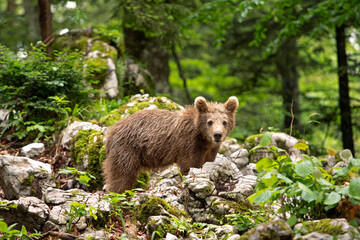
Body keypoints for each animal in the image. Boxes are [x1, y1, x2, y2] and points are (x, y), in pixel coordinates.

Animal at [102, 96, 239, 193]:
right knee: (122, 174)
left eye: (224, 122)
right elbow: (190, 166)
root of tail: (111, 132)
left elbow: (208, 163)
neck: (203, 138)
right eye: (210, 122)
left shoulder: (210, 150)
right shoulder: (189, 144)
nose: (217, 134)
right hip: (126, 149)